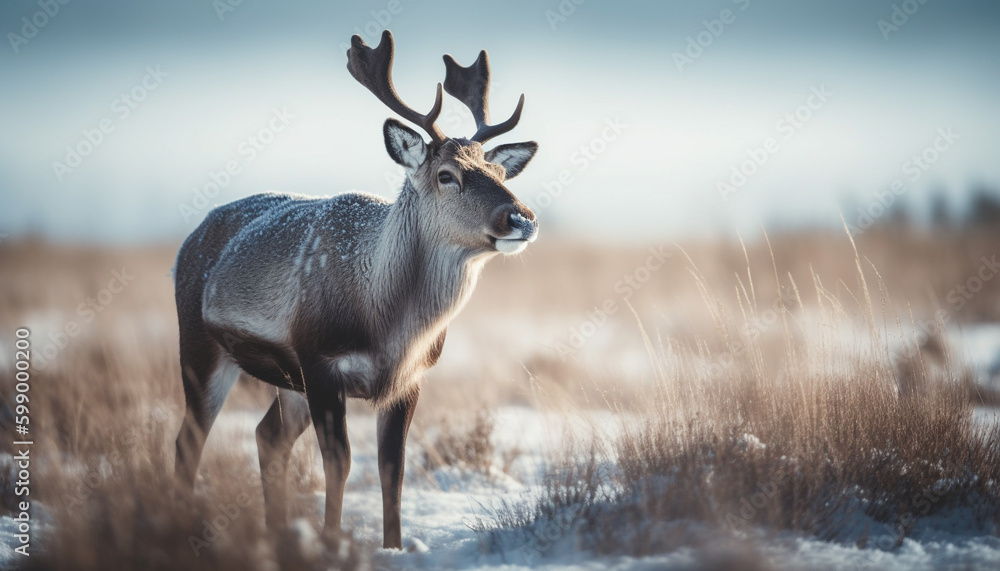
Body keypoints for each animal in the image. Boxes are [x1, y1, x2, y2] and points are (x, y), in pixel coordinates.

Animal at [172, 30, 539, 549]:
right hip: (201, 346)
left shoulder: (410, 378)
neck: (387, 325)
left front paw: (394, 546)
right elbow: (339, 462)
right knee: (189, 440)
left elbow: (392, 469)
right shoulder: (320, 359)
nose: (521, 218)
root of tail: (190, 238)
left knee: (266, 437)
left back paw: (277, 531)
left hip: (287, 383)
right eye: (447, 175)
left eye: (502, 173)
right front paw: (330, 540)